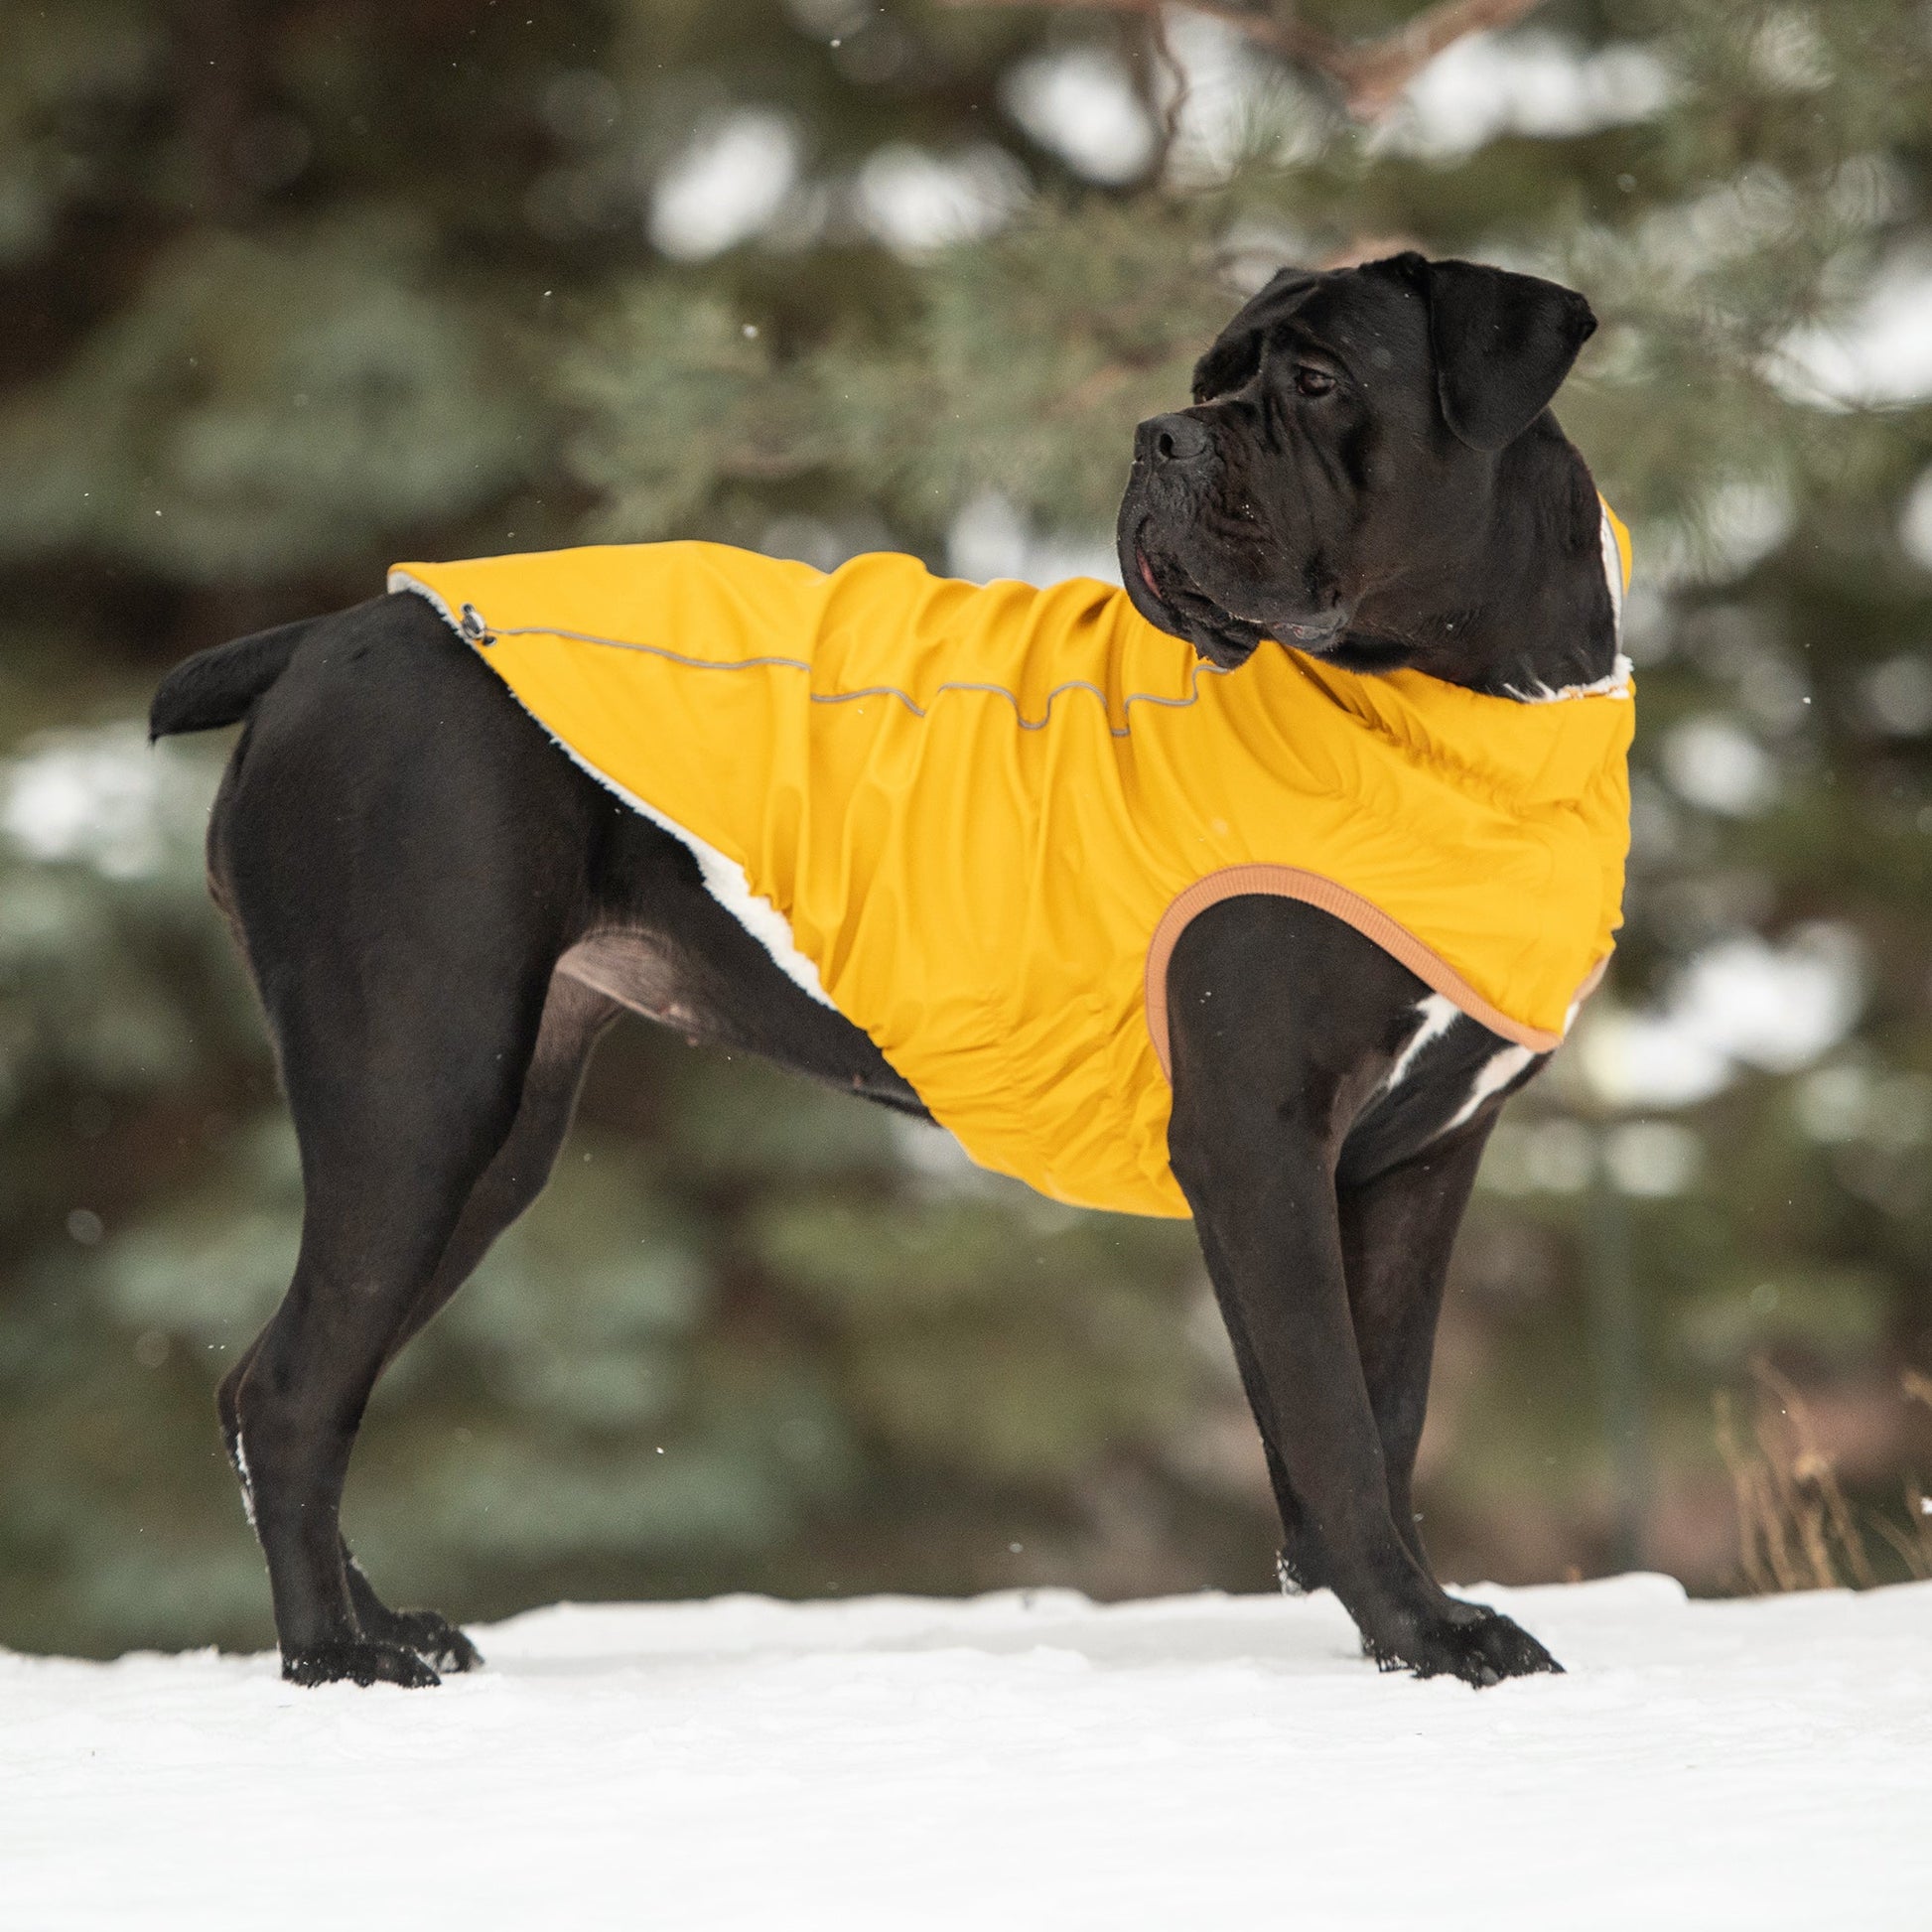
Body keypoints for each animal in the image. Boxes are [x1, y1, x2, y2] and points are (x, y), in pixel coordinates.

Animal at [150, 252, 1614, 1692]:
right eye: (1208, 382)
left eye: (1314, 381)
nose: (1160, 435)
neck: (1475, 719)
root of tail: (326, 634)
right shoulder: (1259, 1143)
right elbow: (1331, 1416)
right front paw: (1428, 1634)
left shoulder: (1415, 1159)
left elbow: (1385, 1406)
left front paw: (1401, 1625)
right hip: (418, 1088)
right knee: (292, 1389)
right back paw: (336, 1654)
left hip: (491, 1140)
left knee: (277, 1381)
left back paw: (385, 1625)